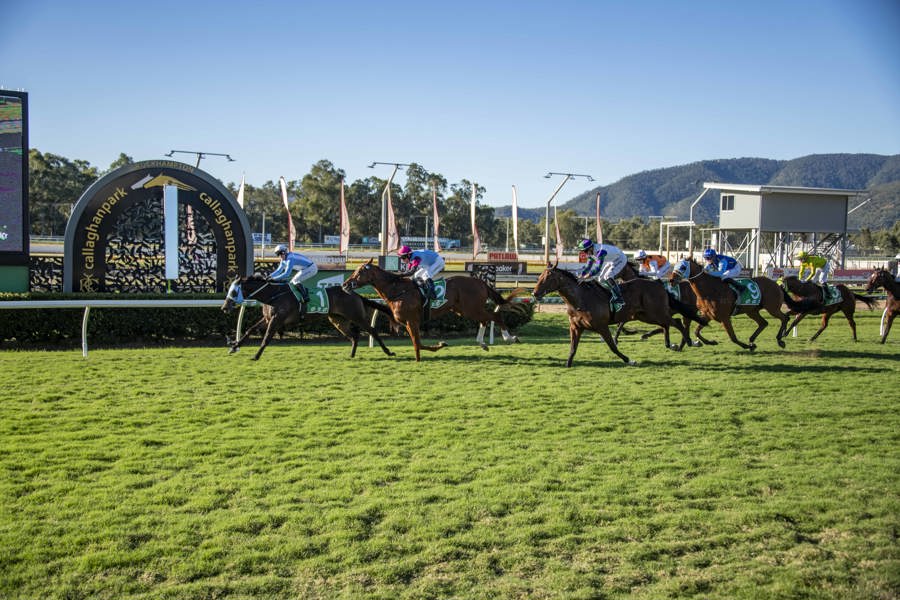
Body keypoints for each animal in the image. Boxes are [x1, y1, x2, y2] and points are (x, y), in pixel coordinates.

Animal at [221, 275, 397, 360]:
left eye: (234, 291)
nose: (224, 307)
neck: (274, 295)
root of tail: (354, 293)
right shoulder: (267, 319)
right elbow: (249, 330)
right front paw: (234, 346)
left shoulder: (277, 320)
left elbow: (266, 338)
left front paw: (256, 355)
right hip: (338, 320)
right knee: (354, 336)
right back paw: (352, 355)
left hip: (356, 316)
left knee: (372, 330)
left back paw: (388, 352)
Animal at [531, 264, 691, 367]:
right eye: (539, 276)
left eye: (547, 278)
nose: (534, 293)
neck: (581, 299)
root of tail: (659, 284)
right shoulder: (575, 327)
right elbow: (572, 348)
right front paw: (568, 364)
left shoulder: (602, 326)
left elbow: (612, 346)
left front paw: (629, 360)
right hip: (646, 315)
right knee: (668, 323)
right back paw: (671, 344)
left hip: (655, 312)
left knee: (676, 322)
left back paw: (687, 342)